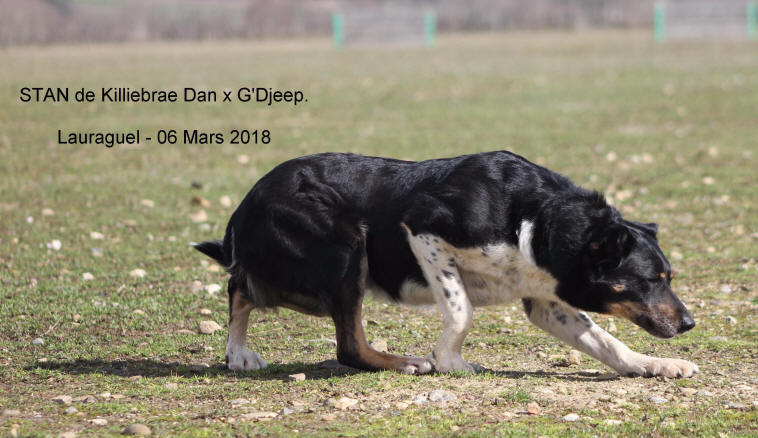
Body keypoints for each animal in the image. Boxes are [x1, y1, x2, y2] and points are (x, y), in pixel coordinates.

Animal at [194, 150, 700, 376]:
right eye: (650, 280)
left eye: (668, 277)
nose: (690, 323)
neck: (536, 218)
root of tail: (248, 201)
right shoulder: (424, 231)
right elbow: (461, 311)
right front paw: (450, 361)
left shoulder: (546, 300)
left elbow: (606, 343)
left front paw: (656, 365)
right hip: (347, 251)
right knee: (347, 345)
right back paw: (403, 362)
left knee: (242, 286)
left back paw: (237, 352)